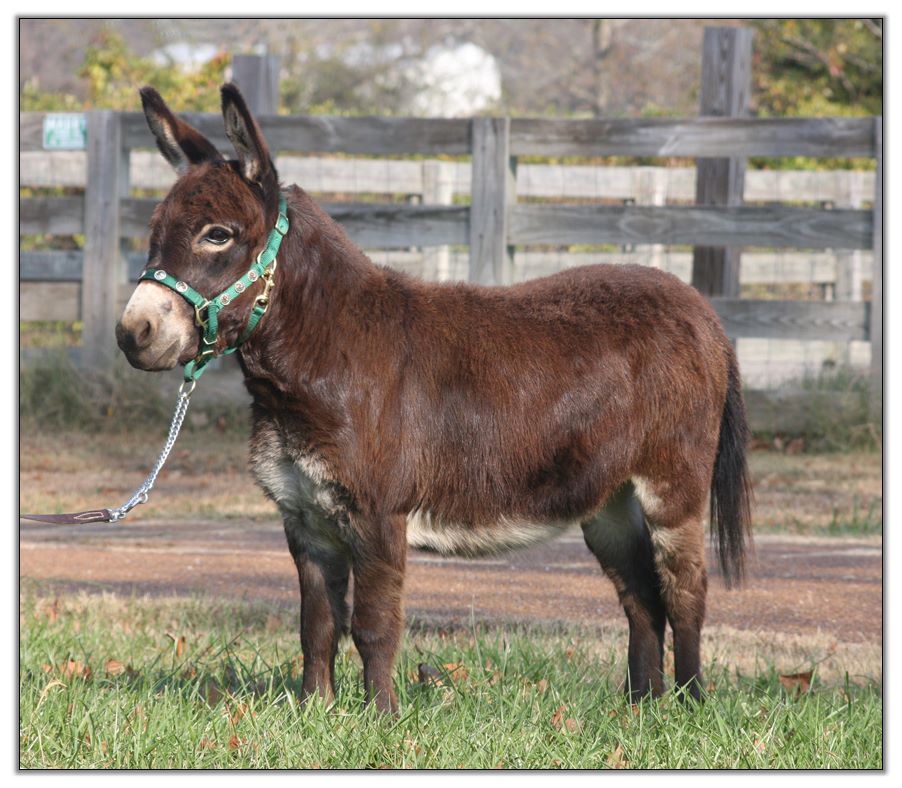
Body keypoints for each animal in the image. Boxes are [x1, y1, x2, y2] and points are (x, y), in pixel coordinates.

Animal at [116, 84, 752, 714]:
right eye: (154, 231)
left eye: (217, 235)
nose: (131, 333)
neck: (321, 360)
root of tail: (702, 310)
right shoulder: (306, 521)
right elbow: (317, 626)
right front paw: (315, 712)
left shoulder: (377, 515)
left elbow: (373, 625)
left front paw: (379, 718)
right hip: (608, 498)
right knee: (641, 594)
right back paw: (641, 707)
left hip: (672, 485)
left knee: (685, 591)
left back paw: (690, 705)